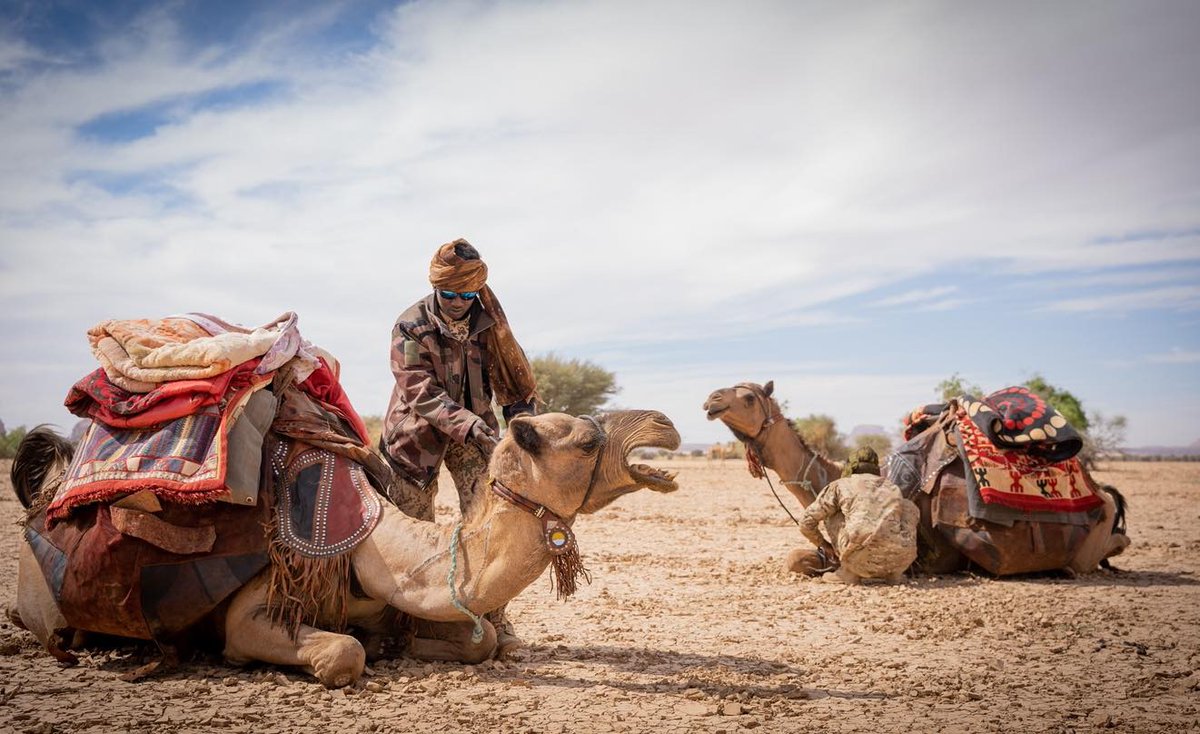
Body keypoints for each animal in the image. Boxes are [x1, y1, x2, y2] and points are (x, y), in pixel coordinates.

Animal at [11, 410, 680, 687]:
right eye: (588, 440)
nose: (667, 427)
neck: (376, 542)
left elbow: (483, 639)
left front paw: (395, 646)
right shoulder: (257, 607)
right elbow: (340, 654)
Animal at [704, 380, 1129, 577]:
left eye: (748, 397)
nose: (711, 400)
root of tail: (1100, 491)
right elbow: (797, 558)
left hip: (1086, 546)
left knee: (1109, 546)